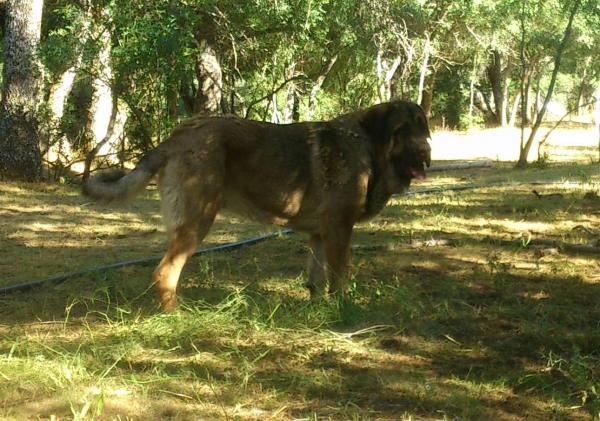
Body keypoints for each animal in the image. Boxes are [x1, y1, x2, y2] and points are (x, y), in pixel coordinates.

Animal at [84, 100, 432, 310]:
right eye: (402, 131)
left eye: (423, 129)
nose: (427, 154)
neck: (368, 149)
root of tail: (176, 137)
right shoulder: (339, 232)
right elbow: (338, 279)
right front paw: (341, 311)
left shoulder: (320, 236)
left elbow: (316, 279)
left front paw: (317, 311)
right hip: (198, 221)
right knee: (164, 272)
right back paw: (176, 315)